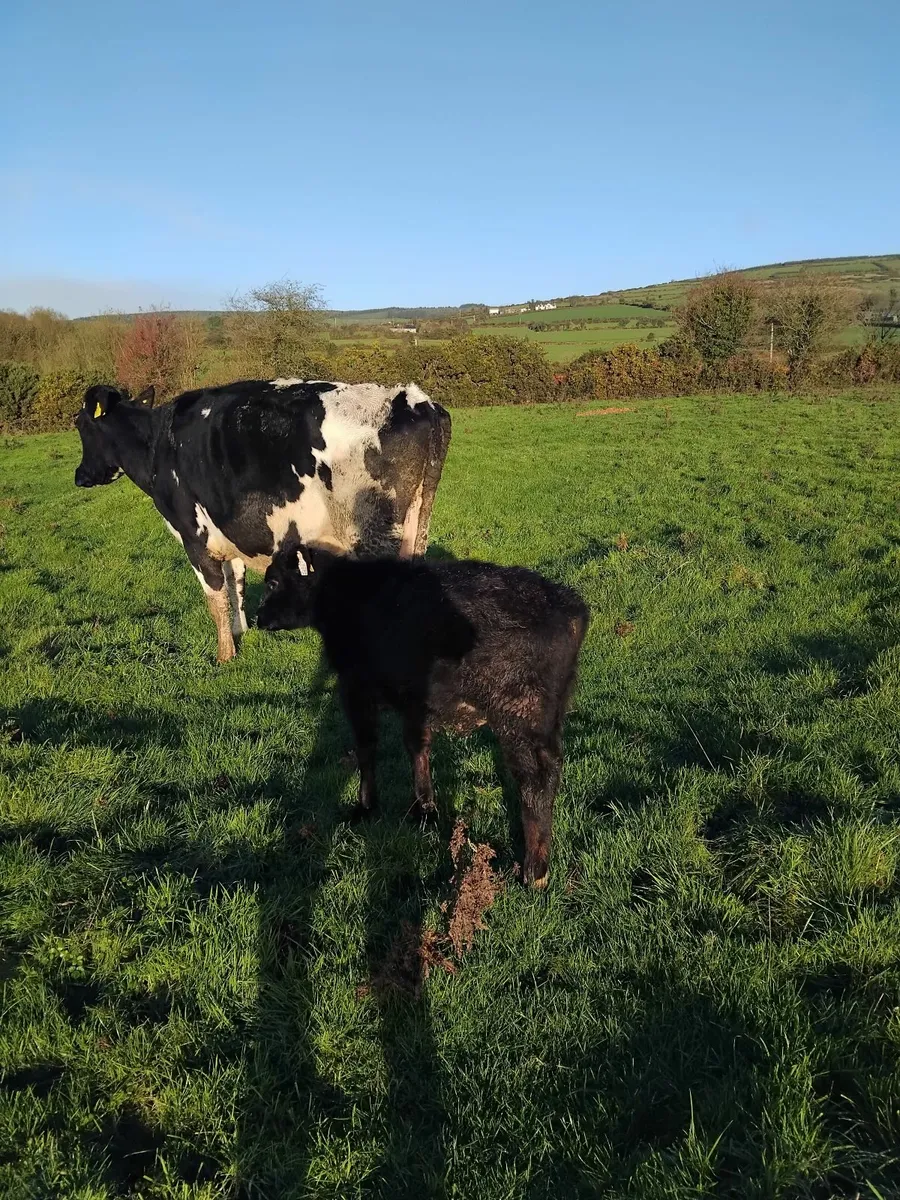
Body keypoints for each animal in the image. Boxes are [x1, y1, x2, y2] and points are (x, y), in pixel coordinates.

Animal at [74, 379, 451, 662]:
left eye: (80, 424)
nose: (80, 476)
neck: (157, 446)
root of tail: (416, 400)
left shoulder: (193, 537)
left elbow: (215, 598)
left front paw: (224, 656)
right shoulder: (227, 535)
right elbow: (235, 585)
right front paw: (240, 631)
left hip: (372, 539)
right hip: (416, 529)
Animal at [256, 543, 589, 887]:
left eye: (273, 582)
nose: (257, 618)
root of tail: (569, 606)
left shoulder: (355, 689)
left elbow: (366, 747)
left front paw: (366, 806)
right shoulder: (414, 700)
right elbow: (417, 745)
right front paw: (425, 808)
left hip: (520, 714)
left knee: (535, 782)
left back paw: (534, 872)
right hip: (548, 716)